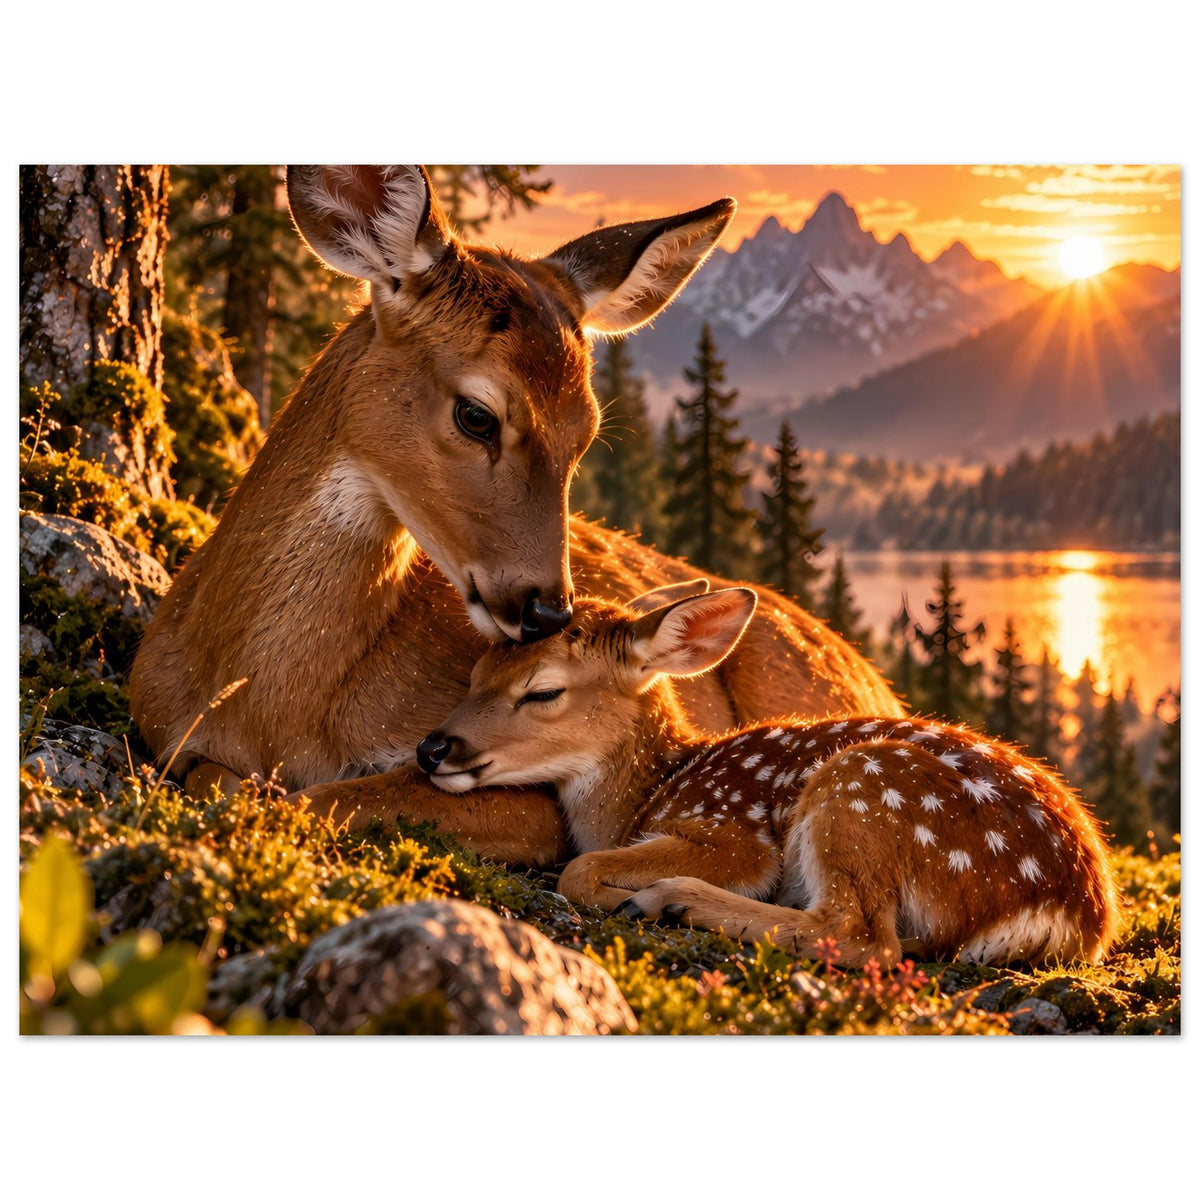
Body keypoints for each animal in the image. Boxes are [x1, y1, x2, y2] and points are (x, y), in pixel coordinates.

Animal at [130, 165, 902, 868]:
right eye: (477, 415)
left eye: (587, 431)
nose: (547, 610)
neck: (264, 705)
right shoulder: (160, 724)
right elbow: (220, 780)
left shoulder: (527, 797)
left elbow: (327, 797)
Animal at [417, 583, 1123, 967]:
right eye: (477, 672)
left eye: (543, 691)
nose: (432, 748)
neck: (647, 793)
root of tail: (1075, 914)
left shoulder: (733, 832)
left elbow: (580, 867)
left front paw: (626, 891)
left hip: (862, 789)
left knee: (862, 935)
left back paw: (672, 900)